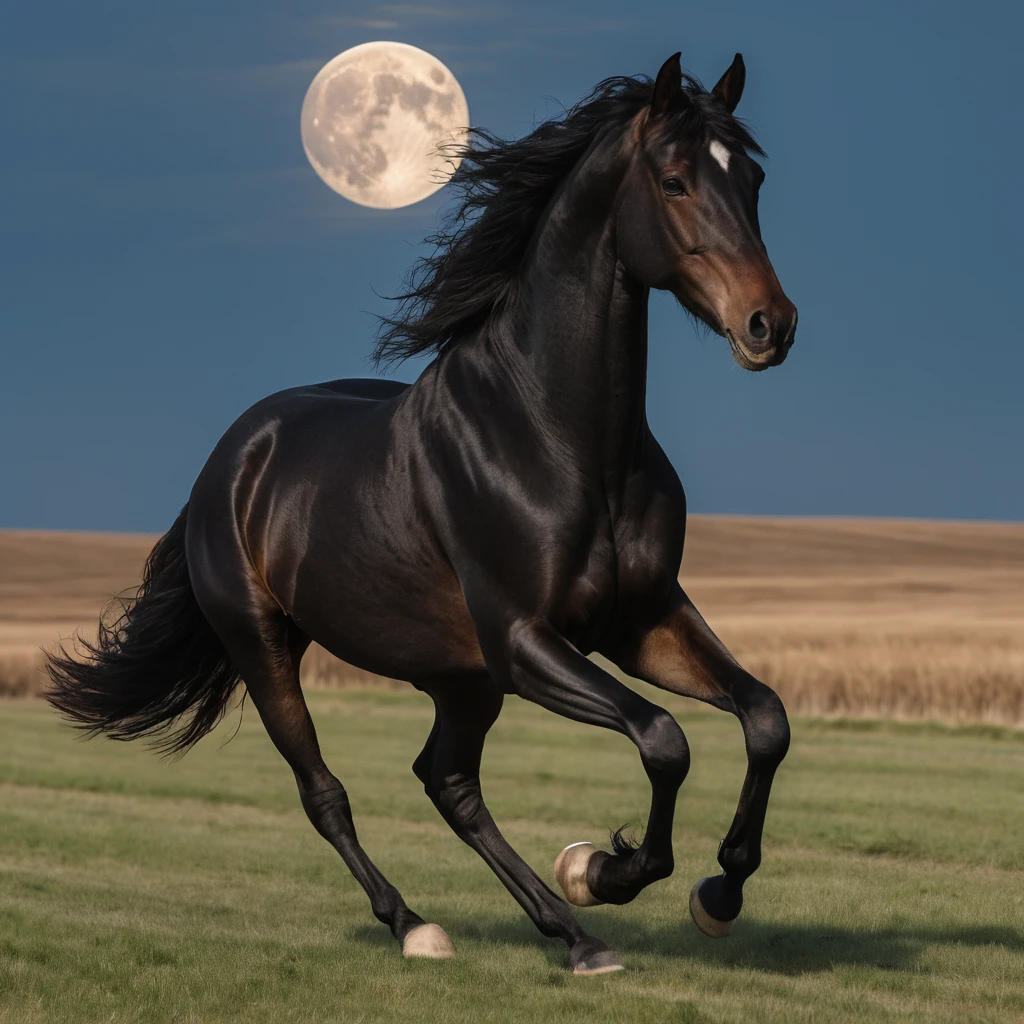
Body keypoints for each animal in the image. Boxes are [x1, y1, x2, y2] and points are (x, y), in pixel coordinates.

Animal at [46, 52, 797, 975]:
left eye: (753, 179)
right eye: (675, 180)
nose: (770, 325)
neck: (562, 438)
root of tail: (230, 459)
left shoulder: (642, 623)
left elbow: (763, 719)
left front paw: (716, 893)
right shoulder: (524, 643)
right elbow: (664, 740)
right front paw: (603, 869)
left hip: (459, 680)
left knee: (449, 783)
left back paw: (572, 934)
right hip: (268, 648)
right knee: (326, 793)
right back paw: (423, 926)